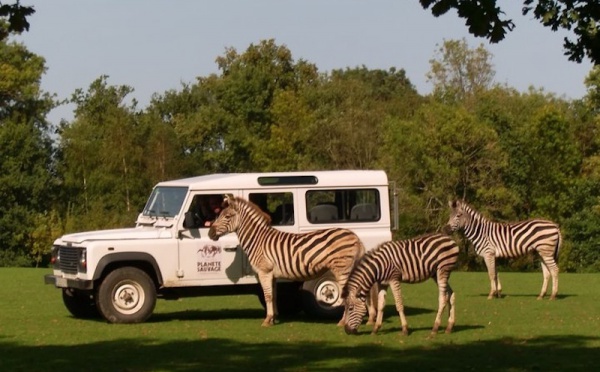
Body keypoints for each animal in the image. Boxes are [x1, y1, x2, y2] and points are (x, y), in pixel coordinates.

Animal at [209, 195, 372, 326]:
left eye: (227, 216)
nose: (210, 233)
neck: (258, 240)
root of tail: (355, 236)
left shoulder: (264, 271)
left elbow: (267, 295)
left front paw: (267, 320)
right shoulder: (272, 274)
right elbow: (273, 296)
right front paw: (274, 317)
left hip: (342, 269)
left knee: (349, 294)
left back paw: (342, 322)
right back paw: (369, 320)